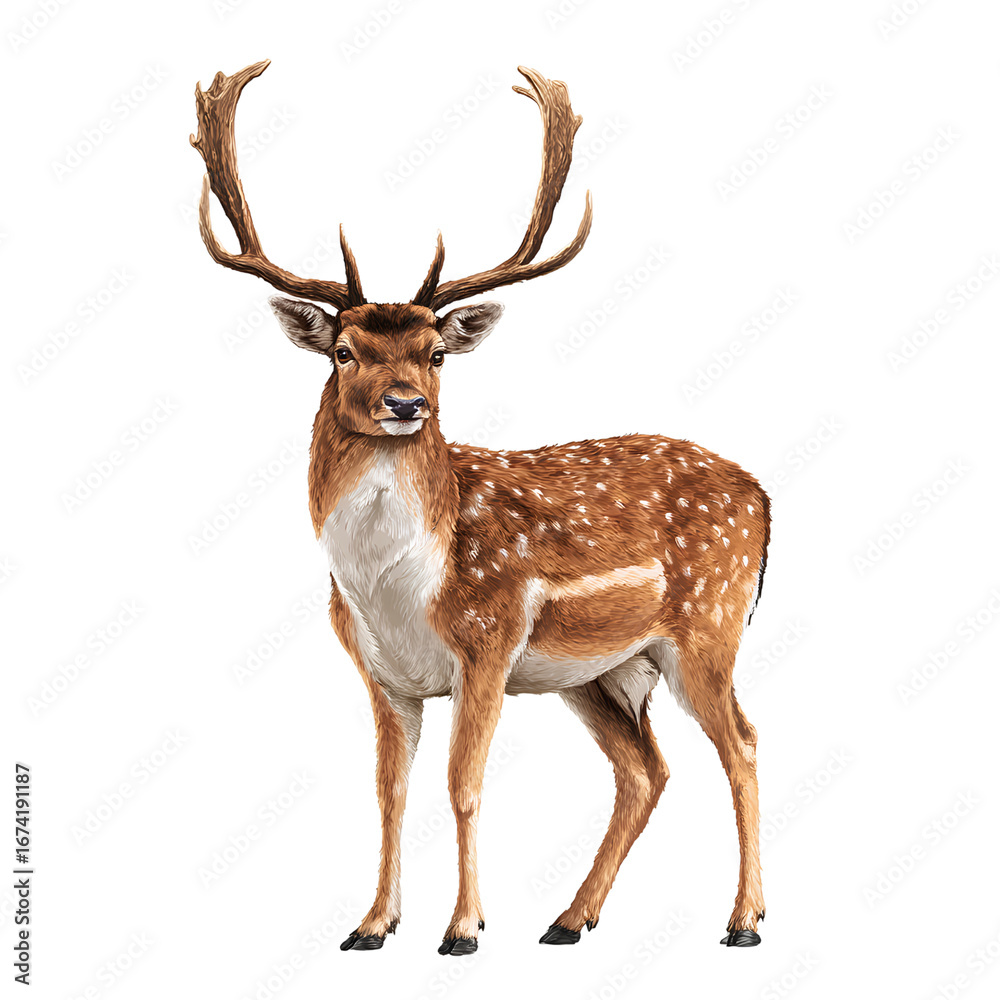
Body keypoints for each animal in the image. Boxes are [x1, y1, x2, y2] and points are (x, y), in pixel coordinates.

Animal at [191, 60, 771, 956]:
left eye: (436, 353)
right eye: (343, 350)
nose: (405, 404)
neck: (395, 591)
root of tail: (762, 496)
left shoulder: (489, 644)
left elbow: (463, 786)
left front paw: (463, 929)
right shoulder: (380, 674)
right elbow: (389, 792)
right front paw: (371, 926)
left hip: (708, 625)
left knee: (741, 745)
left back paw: (743, 921)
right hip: (600, 671)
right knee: (645, 769)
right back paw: (569, 919)